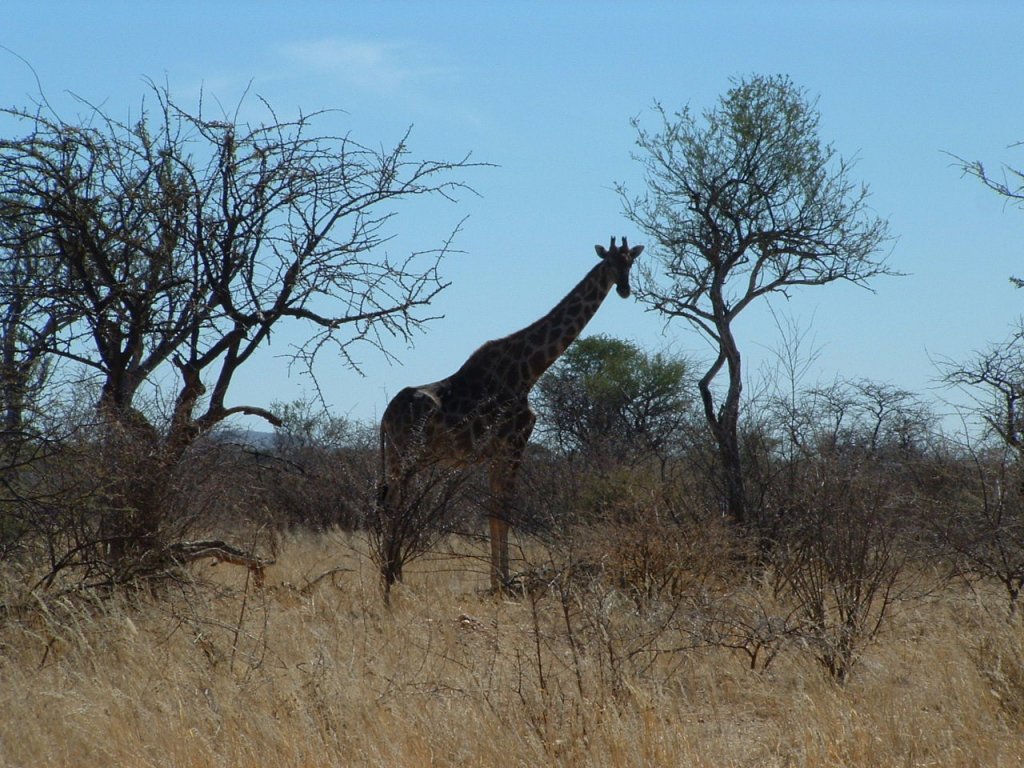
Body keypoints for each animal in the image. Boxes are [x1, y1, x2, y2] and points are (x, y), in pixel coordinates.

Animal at [380, 237, 643, 593]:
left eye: (631, 262)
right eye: (610, 264)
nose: (625, 289)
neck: (529, 371)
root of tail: (384, 417)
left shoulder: (496, 452)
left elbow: (495, 514)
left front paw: (498, 580)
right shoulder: (514, 442)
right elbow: (502, 513)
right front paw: (502, 583)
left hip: (401, 459)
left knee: (390, 506)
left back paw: (392, 576)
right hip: (405, 456)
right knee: (392, 507)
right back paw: (391, 580)